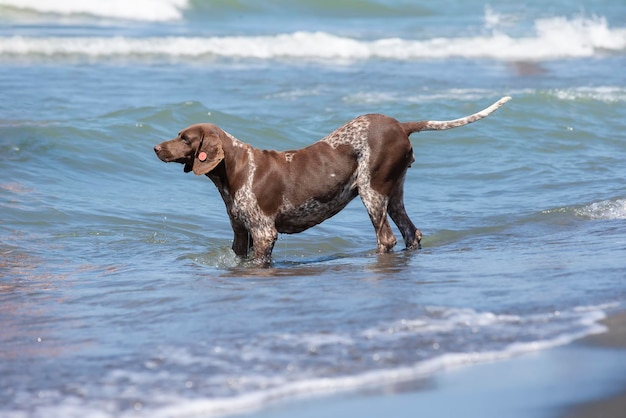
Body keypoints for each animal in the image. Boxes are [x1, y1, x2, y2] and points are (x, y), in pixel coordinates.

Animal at [155, 97, 508, 264]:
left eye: (184, 138)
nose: (156, 147)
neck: (236, 170)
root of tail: (400, 125)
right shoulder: (241, 234)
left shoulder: (265, 233)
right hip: (393, 194)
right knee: (412, 233)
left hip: (372, 192)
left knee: (386, 238)